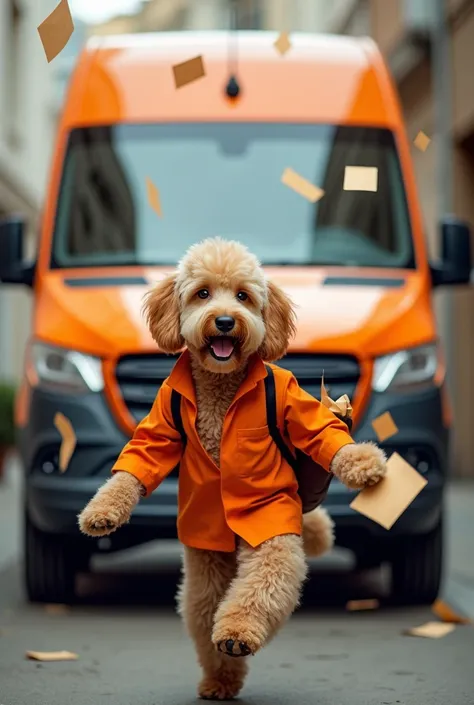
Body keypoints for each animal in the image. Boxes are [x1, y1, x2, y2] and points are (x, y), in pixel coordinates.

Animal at [78, 236, 386, 700]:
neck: (221, 388)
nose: (224, 321)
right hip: (207, 560)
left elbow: (321, 434)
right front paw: (102, 512)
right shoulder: (162, 420)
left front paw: (363, 462)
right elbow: (140, 461)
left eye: (243, 296)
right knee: (204, 608)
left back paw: (231, 645)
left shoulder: (274, 519)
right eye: (202, 293)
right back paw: (220, 676)